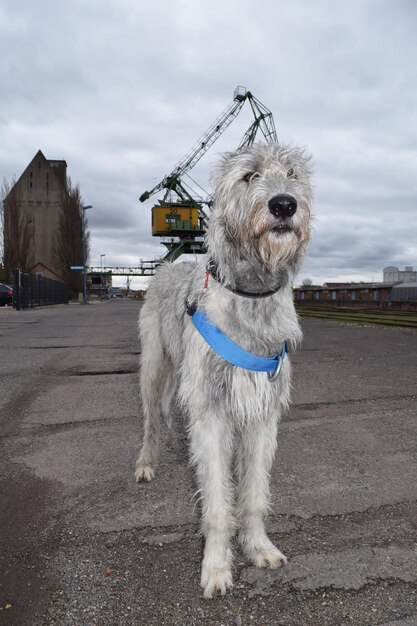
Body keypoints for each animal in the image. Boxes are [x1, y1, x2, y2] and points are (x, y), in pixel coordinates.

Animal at [135, 141, 310, 596]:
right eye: (250, 176)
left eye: (292, 174)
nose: (284, 204)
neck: (251, 293)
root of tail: (171, 265)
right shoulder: (211, 412)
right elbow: (216, 500)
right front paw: (215, 566)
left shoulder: (263, 413)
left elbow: (253, 493)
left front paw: (258, 546)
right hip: (154, 369)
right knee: (152, 419)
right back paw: (145, 462)